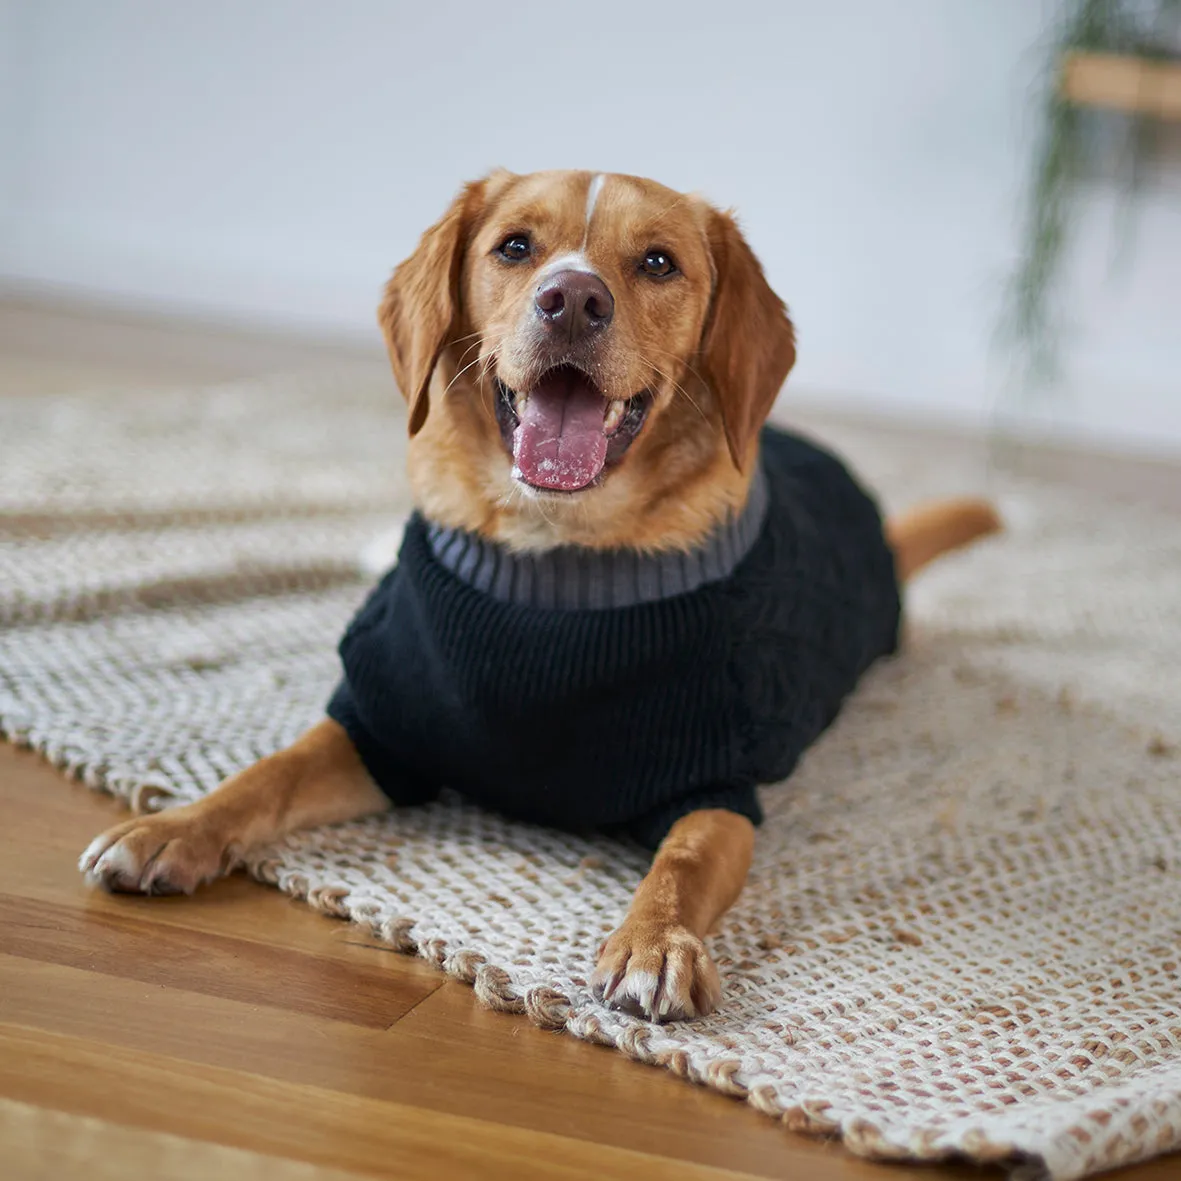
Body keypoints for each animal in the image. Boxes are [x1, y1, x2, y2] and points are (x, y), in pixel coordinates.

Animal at [80, 168, 996, 1025]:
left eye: (657, 261)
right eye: (514, 247)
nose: (573, 299)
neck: (552, 556)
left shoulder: (713, 786)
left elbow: (684, 860)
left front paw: (654, 940)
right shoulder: (379, 730)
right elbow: (263, 774)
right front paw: (172, 827)